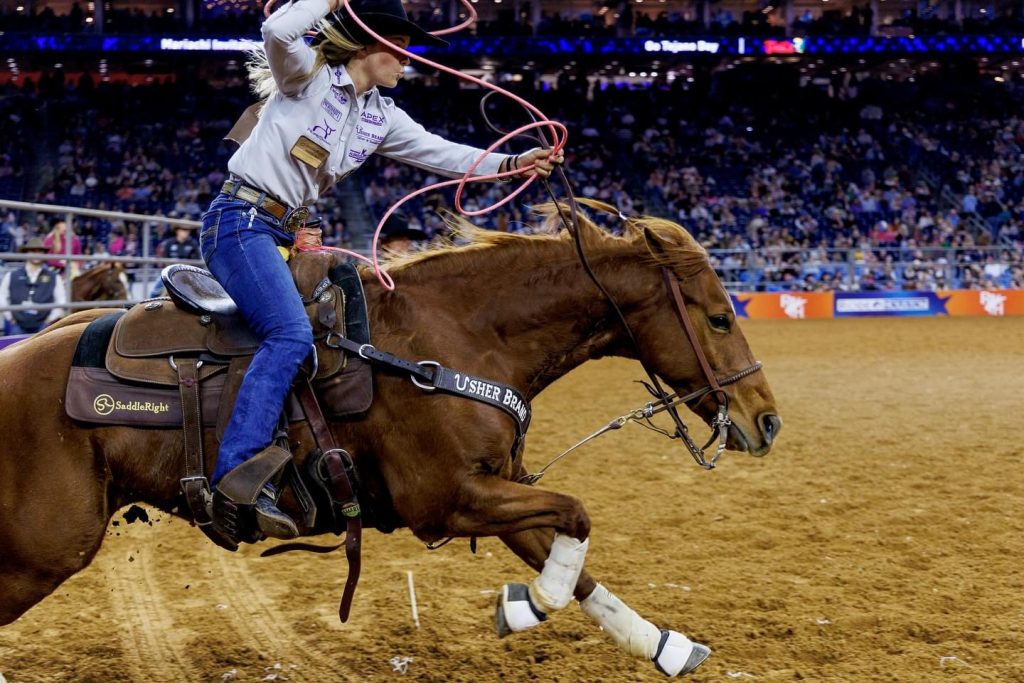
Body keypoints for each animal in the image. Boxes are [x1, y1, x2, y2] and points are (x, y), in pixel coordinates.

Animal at [0, 202, 778, 679]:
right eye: (717, 317)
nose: (766, 419)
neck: (452, 340)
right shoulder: (446, 500)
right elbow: (578, 517)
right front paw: (525, 604)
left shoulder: (495, 487)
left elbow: (573, 552)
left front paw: (664, 646)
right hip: (44, 548)